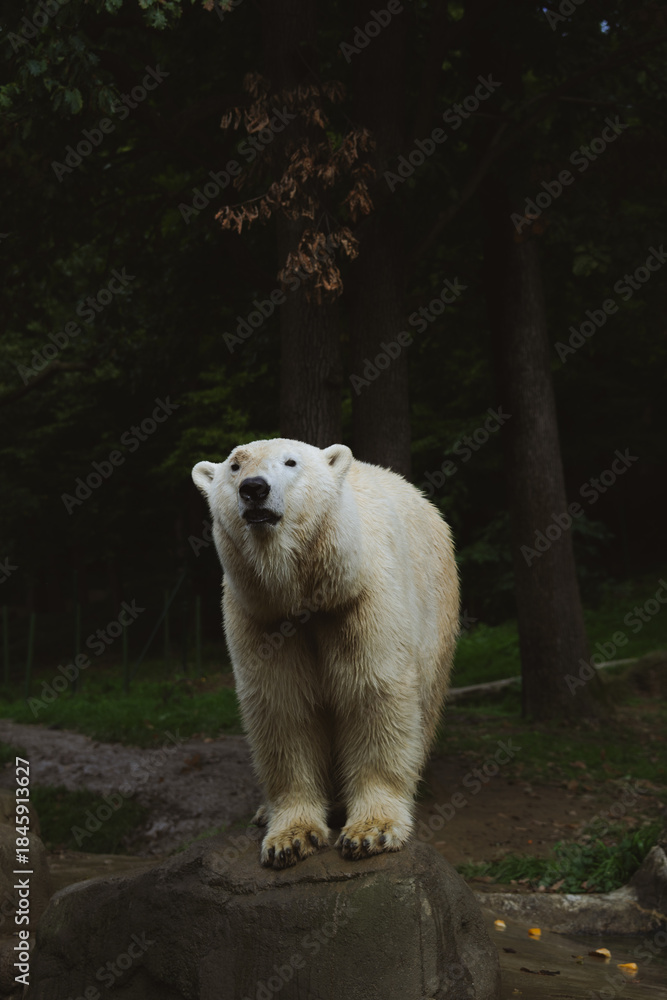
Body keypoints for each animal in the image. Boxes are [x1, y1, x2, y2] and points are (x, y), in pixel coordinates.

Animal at [192, 438, 459, 869]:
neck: (306, 596)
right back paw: (265, 810)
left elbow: (372, 696)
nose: (254, 488)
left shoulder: (360, 601)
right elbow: (283, 708)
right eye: (234, 466)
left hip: (436, 610)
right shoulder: (262, 619)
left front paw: (371, 832)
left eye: (290, 461)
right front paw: (288, 838)